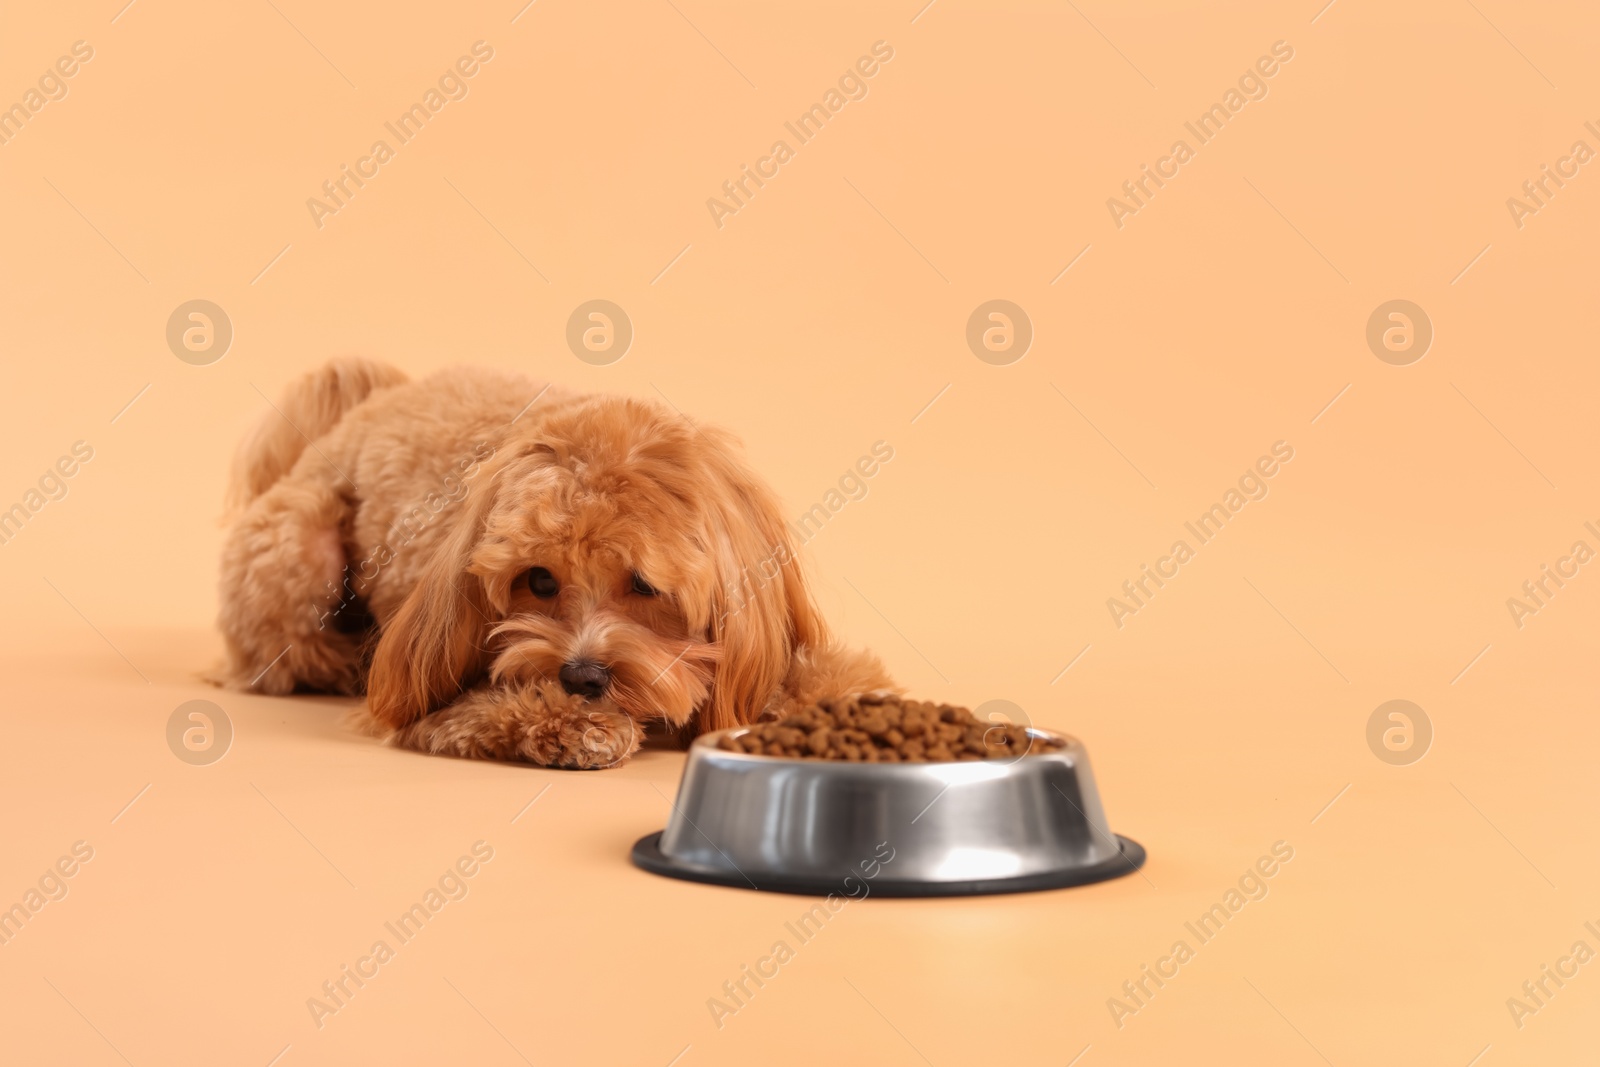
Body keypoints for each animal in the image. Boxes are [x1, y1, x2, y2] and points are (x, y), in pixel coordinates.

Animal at [214, 358, 896, 767]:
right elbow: (496, 709)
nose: (583, 676)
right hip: (296, 546)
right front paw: (576, 725)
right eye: (538, 580)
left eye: (644, 584)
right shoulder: (439, 698)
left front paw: (842, 694)